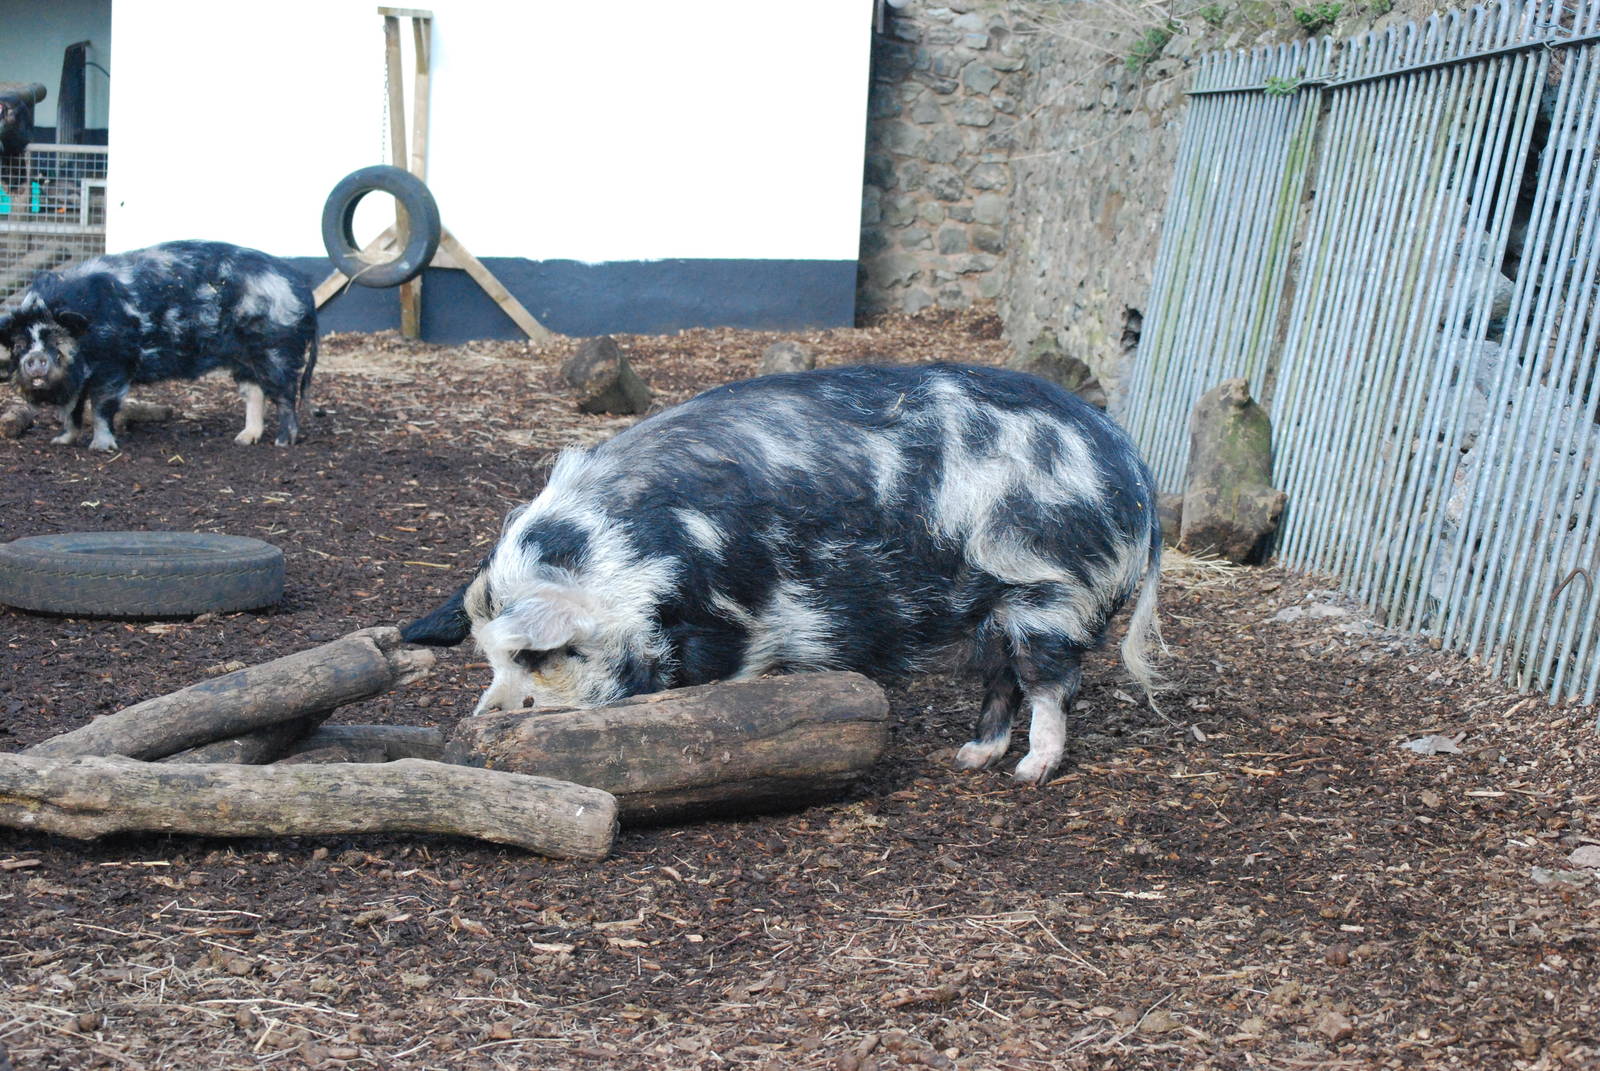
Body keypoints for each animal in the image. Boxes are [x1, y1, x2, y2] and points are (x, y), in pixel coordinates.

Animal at [0, 240, 318, 451]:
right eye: (19, 343)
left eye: (56, 339)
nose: (35, 358)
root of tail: (299, 285)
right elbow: (71, 411)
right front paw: (61, 441)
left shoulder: (115, 365)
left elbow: (102, 407)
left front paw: (100, 448)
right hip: (243, 357)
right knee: (254, 392)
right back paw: (243, 439)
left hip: (277, 350)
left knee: (285, 395)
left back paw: (282, 443)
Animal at [402, 363, 1163, 784]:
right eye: (489, 660)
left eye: (543, 654)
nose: (485, 718)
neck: (638, 558)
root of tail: (1129, 460)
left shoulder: (733, 620)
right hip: (1000, 606)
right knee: (1000, 680)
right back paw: (969, 759)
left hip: (1051, 593)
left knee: (1052, 685)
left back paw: (1031, 774)